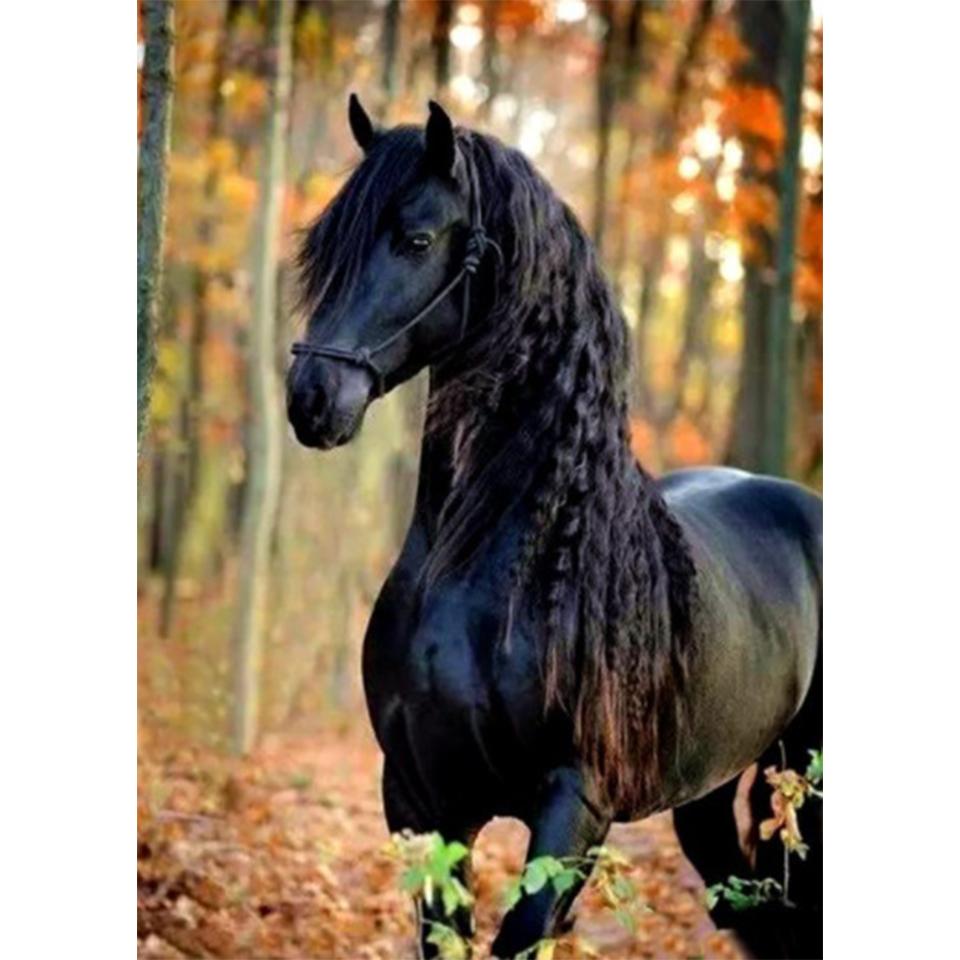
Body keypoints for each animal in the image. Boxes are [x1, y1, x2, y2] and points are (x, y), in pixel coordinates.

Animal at [286, 96, 822, 960]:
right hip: (706, 796)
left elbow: (523, 932)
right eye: (326, 242)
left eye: (417, 239)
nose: (311, 397)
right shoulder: (419, 799)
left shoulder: (574, 805)